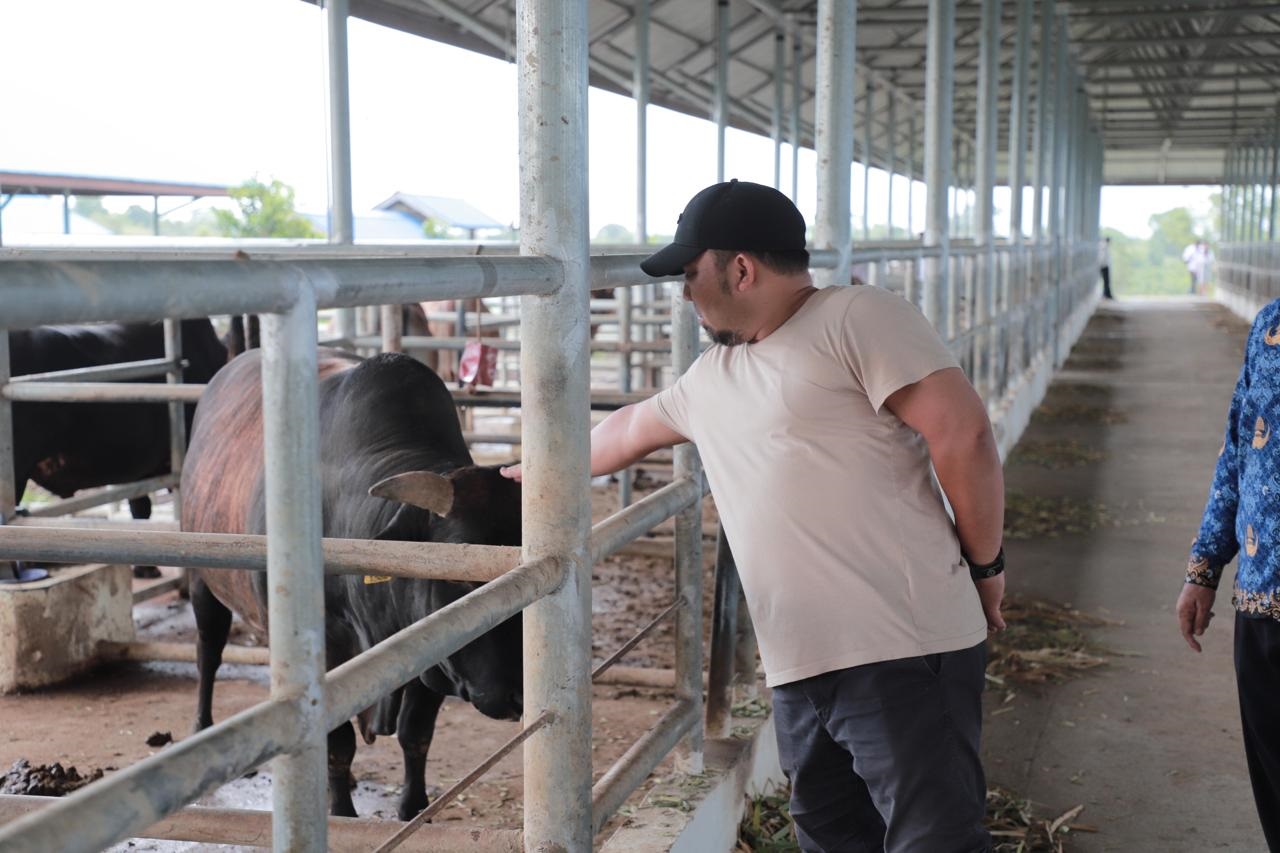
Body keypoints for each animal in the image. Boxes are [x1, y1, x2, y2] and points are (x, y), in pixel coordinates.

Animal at [179, 345, 519, 819]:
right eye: (461, 571)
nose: (516, 697)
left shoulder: (435, 655)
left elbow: (416, 734)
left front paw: (413, 808)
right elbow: (338, 742)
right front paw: (342, 813)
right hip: (203, 585)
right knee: (207, 653)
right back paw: (201, 723)